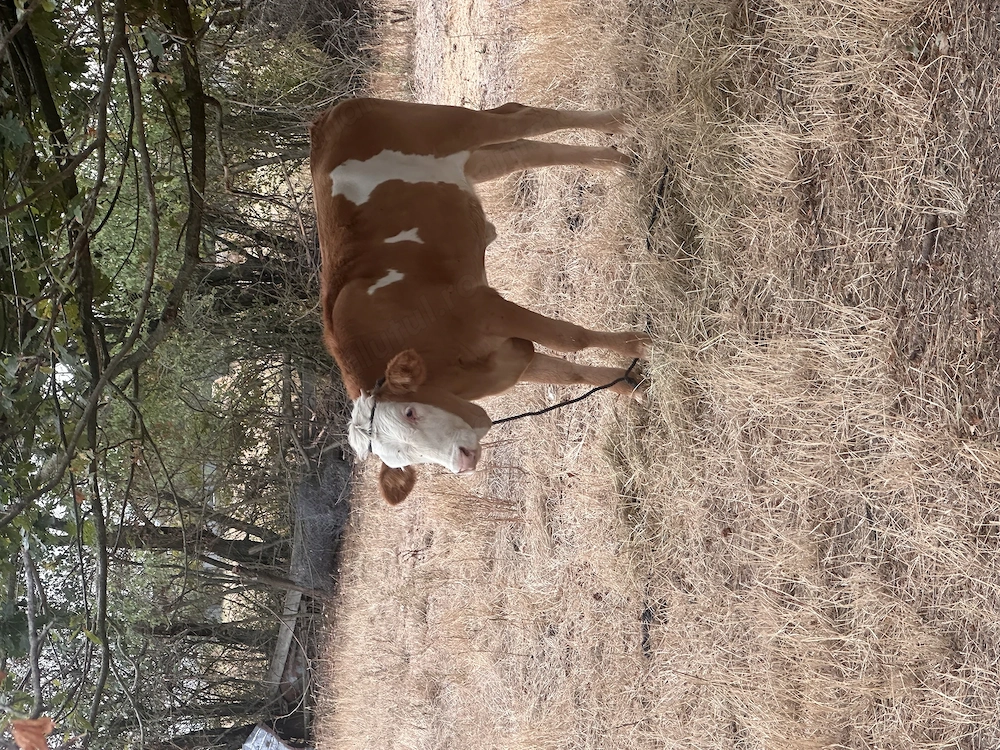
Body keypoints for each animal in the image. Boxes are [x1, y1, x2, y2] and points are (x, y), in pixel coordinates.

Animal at [310, 98, 650, 504]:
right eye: (404, 459)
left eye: (410, 412)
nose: (462, 460)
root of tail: (326, 120)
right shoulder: (505, 356)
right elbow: (568, 373)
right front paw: (629, 388)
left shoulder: (484, 307)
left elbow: (570, 339)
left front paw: (640, 345)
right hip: (469, 161)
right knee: (521, 150)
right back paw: (615, 162)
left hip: (453, 126)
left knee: (530, 118)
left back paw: (620, 122)